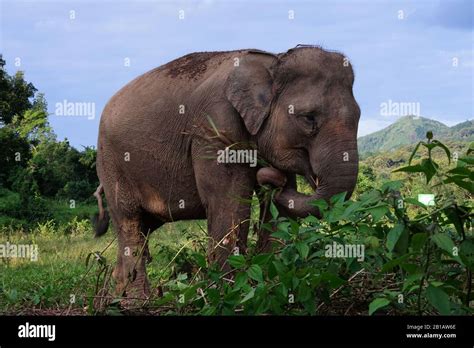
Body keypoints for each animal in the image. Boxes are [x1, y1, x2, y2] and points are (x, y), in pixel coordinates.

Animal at [92, 44, 360, 300]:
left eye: (359, 116)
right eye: (308, 118)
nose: (271, 178)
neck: (273, 61)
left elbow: (279, 212)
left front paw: (270, 283)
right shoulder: (215, 128)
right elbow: (229, 204)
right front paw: (229, 293)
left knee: (142, 228)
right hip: (111, 163)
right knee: (129, 222)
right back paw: (136, 300)